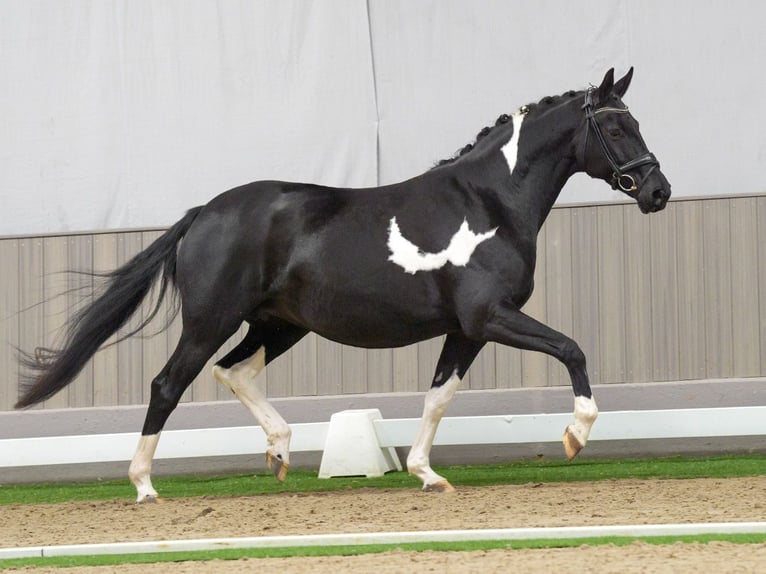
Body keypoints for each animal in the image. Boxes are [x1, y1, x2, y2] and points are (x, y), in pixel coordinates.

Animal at [18, 68, 672, 504]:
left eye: (636, 122)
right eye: (616, 128)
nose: (657, 191)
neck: (488, 201)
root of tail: (204, 212)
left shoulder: (467, 330)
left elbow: (439, 396)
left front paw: (427, 474)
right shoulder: (490, 316)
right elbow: (571, 349)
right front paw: (575, 435)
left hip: (279, 325)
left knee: (234, 371)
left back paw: (281, 451)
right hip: (211, 321)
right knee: (168, 384)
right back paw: (145, 486)